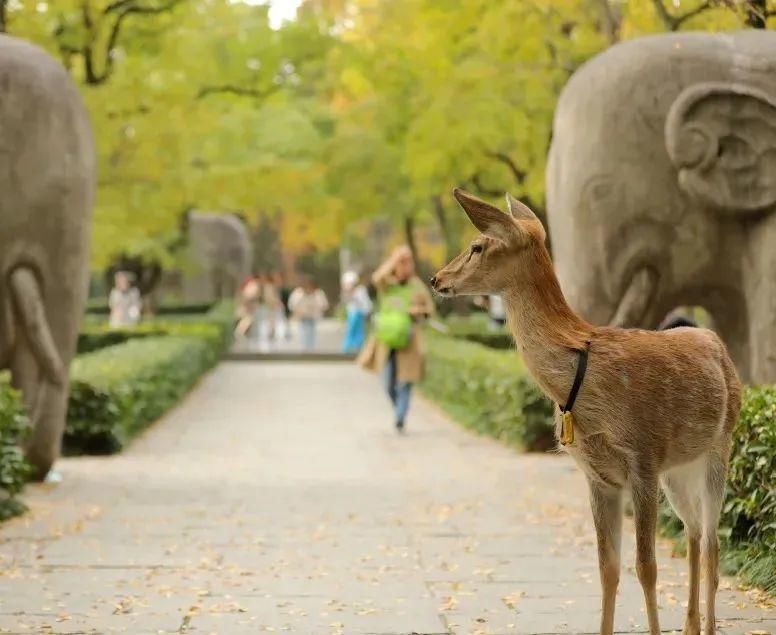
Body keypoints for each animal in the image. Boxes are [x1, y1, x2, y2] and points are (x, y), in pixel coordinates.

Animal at [430, 189, 740, 635]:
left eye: (477, 245)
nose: (436, 279)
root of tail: (717, 344)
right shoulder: (598, 476)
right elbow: (607, 568)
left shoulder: (643, 457)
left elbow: (646, 567)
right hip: (678, 468)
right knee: (694, 532)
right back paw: (690, 625)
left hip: (720, 446)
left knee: (714, 542)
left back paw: (709, 624)